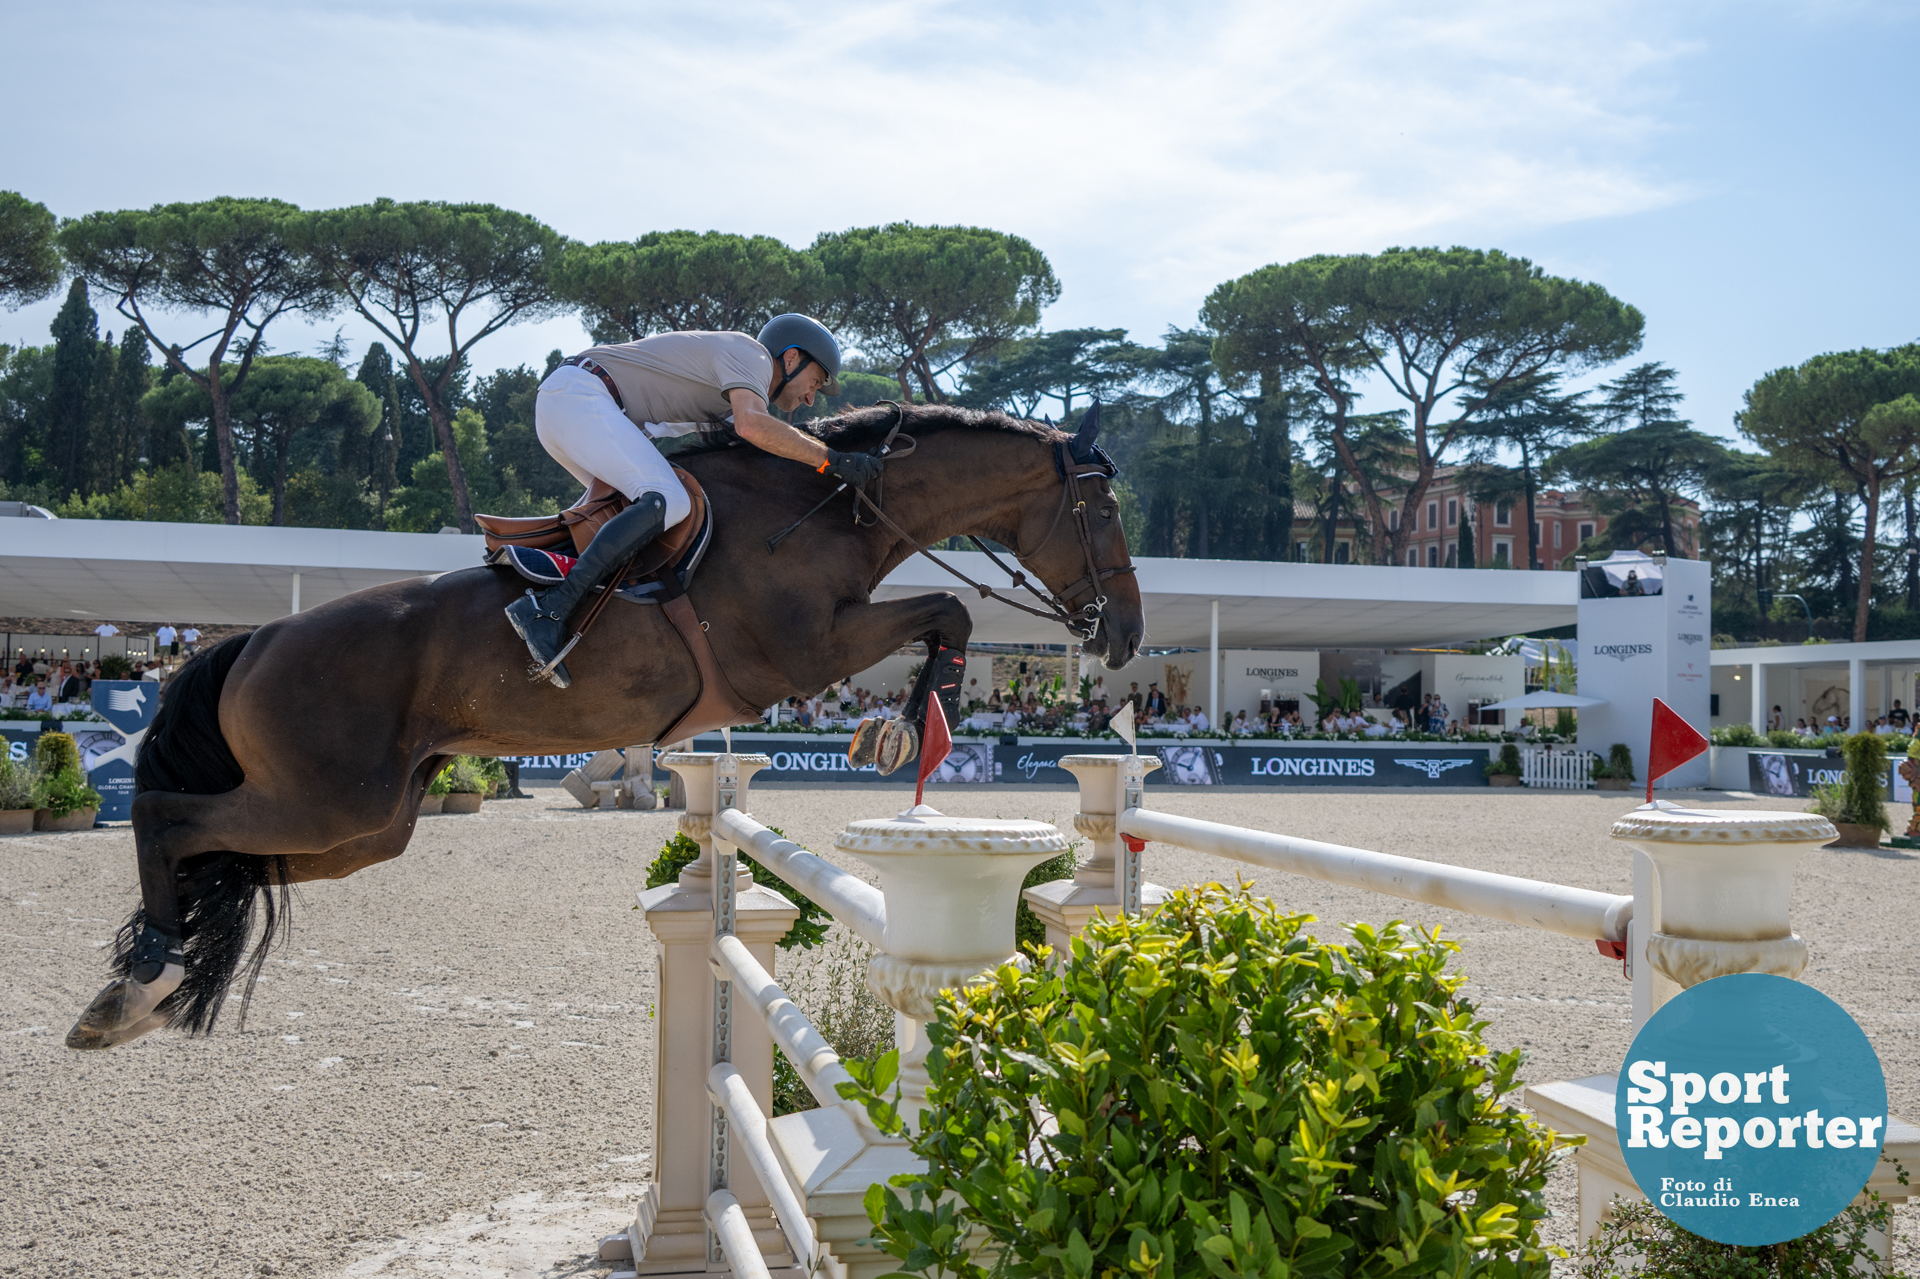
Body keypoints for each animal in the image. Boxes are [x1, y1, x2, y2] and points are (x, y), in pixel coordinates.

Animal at [67, 401, 1136, 1044]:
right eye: (1104, 511)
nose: (1123, 633)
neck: (833, 502)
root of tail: (257, 637)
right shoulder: (798, 652)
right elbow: (947, 610)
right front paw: (905, 732)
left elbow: (941, 615)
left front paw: (901, 731)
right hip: (328, 800)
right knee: (165, 817)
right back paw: (136, 982)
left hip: (362, 826)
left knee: (221, 856)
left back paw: (141, 991)